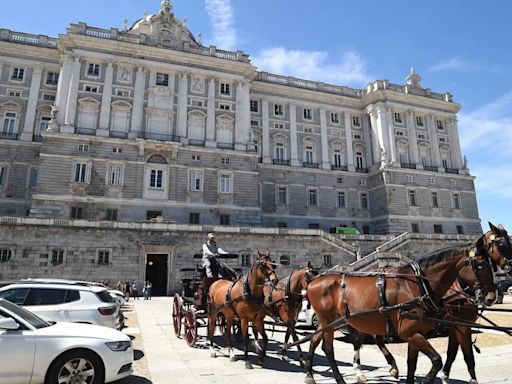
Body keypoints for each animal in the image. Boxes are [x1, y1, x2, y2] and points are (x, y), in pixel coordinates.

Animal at [304, 232, 504, 382]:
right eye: (481, 265)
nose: (491, 296)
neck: (418, 285)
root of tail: (314, 279)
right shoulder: (416, 332)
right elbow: (438, 360)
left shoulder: (416, 334)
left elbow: (413, 365)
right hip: (327, 321)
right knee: (328, 348)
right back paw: (336, 377)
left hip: (338, 322)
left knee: (318, 341)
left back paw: (312, 374)